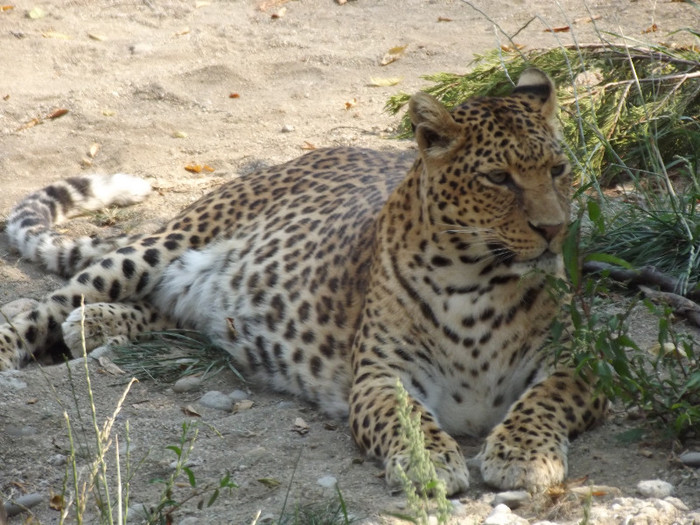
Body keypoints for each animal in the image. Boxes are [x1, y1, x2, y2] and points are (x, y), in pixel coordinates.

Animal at [0, 69, 604, 496]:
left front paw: (523, 456)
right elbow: (407, 418)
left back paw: (97, 325)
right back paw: (37, 339)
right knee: (45, 305)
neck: (479, 281)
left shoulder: (578, 363)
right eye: (498, 178)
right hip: (156, 249)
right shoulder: (381, 378)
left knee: (165, 309)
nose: (554, 229)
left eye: (557, 169)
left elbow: (545, 398)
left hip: (196, 290)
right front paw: (429, 461)